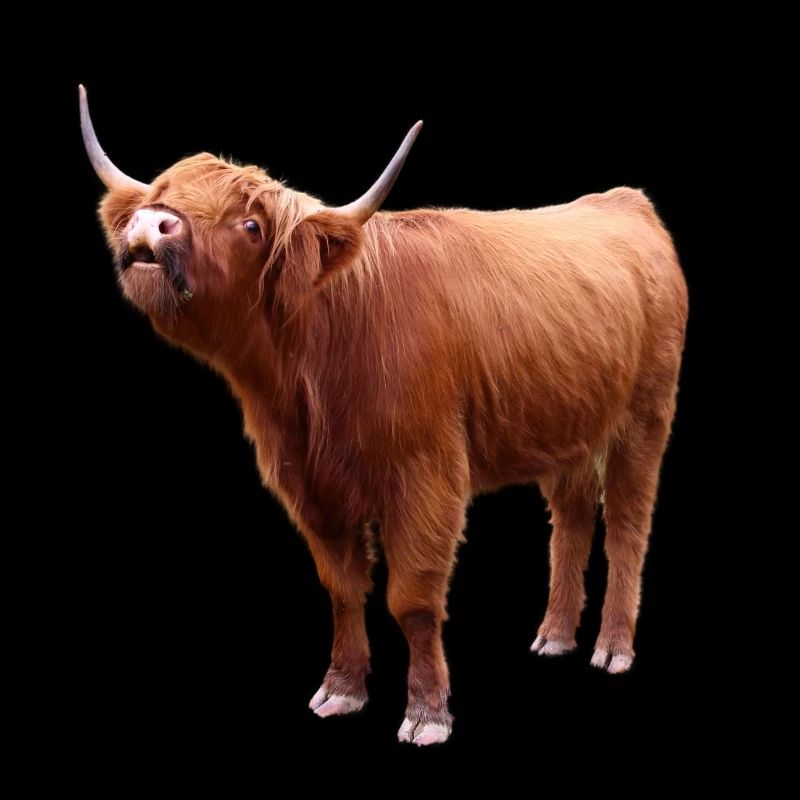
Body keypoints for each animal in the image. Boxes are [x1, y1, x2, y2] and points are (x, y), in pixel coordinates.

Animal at [80, 85, 688, 746]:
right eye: (160, 197)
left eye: (251, 225)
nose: (151, 223)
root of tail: (623, 201)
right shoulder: (309, 485)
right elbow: (343, 588)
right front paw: (342, 689)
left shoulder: (427, 478)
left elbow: (412, 599)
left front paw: (427, 714)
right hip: (568, 426)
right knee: (572, 518)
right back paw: (553, 636)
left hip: (644, 418)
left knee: (628, 523)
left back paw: (613, 647)